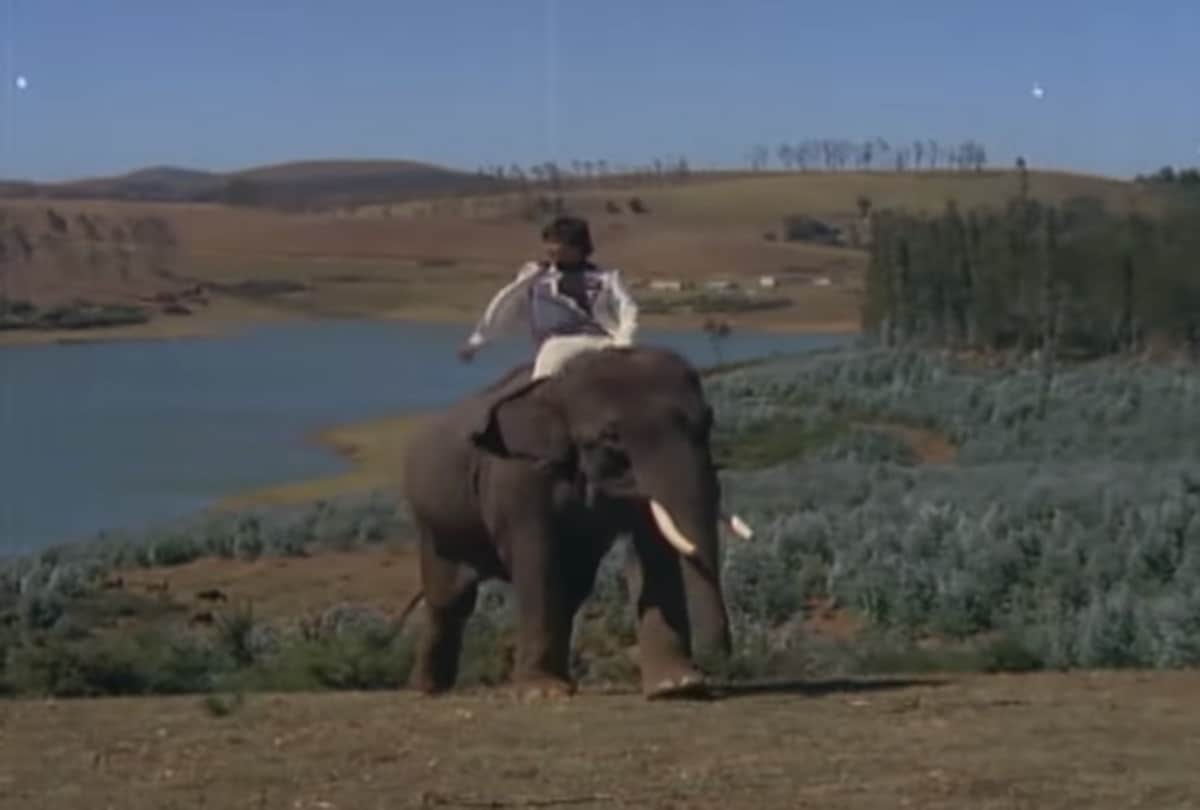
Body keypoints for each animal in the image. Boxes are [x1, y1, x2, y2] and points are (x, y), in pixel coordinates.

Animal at [399, 344, 752, 700]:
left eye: (709, 420)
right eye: (611, 437)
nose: (716, 661)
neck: (560, 387)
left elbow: (654, 551)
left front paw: (677, 686)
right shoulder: (518, 475)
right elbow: (535, 555)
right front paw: (541, 694)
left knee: (572, 588)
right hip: (436, 525)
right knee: (450, 600)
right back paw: (428, 688)